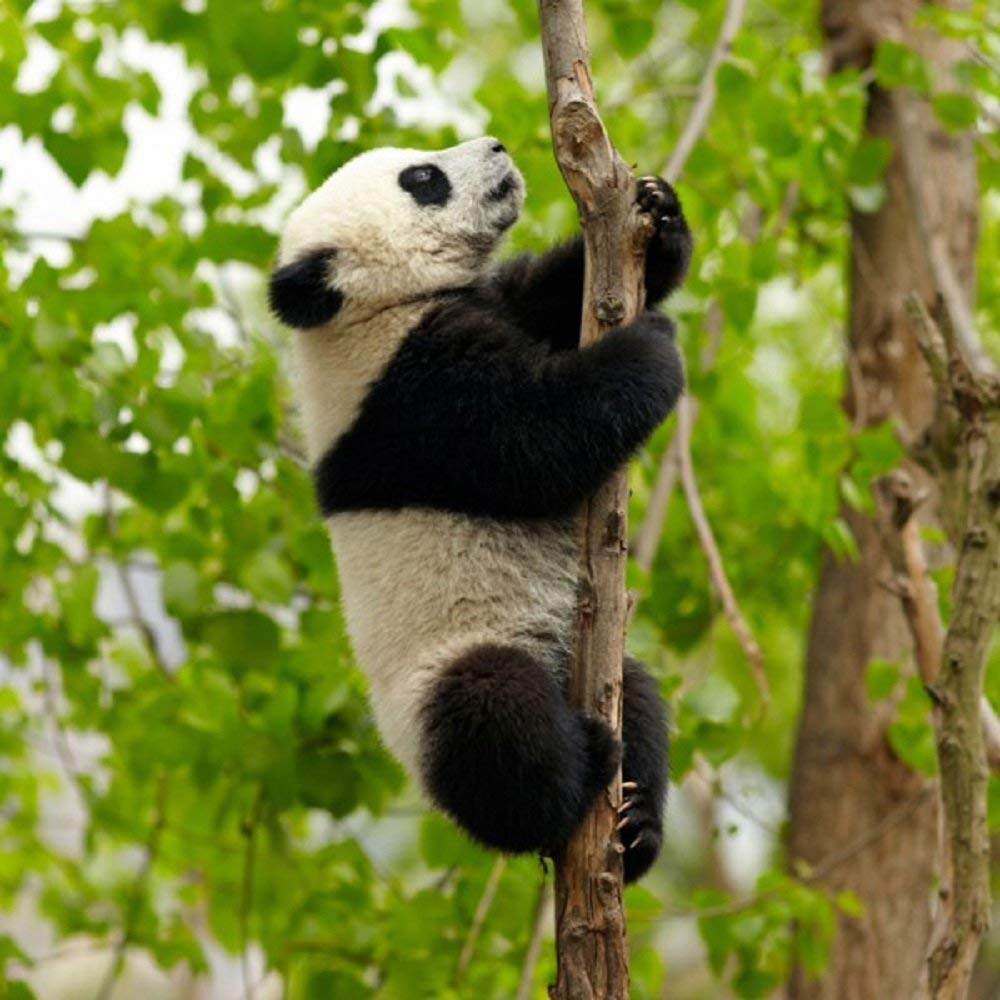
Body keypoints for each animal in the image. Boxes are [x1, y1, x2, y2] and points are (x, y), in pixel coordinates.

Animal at [269, 137, 691, 883]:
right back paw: (574, 779)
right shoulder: (407, 400)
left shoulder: (494, 304)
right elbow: (533, 438)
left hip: (587, 656)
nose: (495, 145)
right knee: (493, 719)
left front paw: (659, 213)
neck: (368, 313)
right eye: (423, 179)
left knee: (641, 698)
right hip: (441, 676)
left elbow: (554, 296)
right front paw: (650, 346)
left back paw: (638, 824)